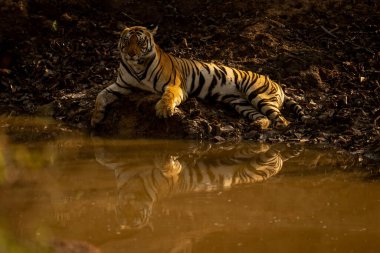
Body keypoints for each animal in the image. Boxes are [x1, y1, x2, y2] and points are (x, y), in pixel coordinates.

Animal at [90, 25, 310, 128]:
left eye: (140, 42)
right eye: (127, 42)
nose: (131, 54)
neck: (137, 67)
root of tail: (276, 82)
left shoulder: (175, 84)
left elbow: (167, 96)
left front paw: (163, 110)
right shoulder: (121, 85)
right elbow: (100, 95)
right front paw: (96, 118)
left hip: (257, 94)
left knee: (282, 120)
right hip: (240, 103)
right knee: (262, 116)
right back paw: (259, 125)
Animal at [93, 140, 304, 229]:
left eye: (137, 218)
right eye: (123, 215)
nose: (130, 219)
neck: (133, 189)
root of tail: (279, 164)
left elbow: (167, 165)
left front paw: (168, 161)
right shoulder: (123, 169)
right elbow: (106, 160)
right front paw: (100, 155)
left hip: (256, 166)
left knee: (270, 150)